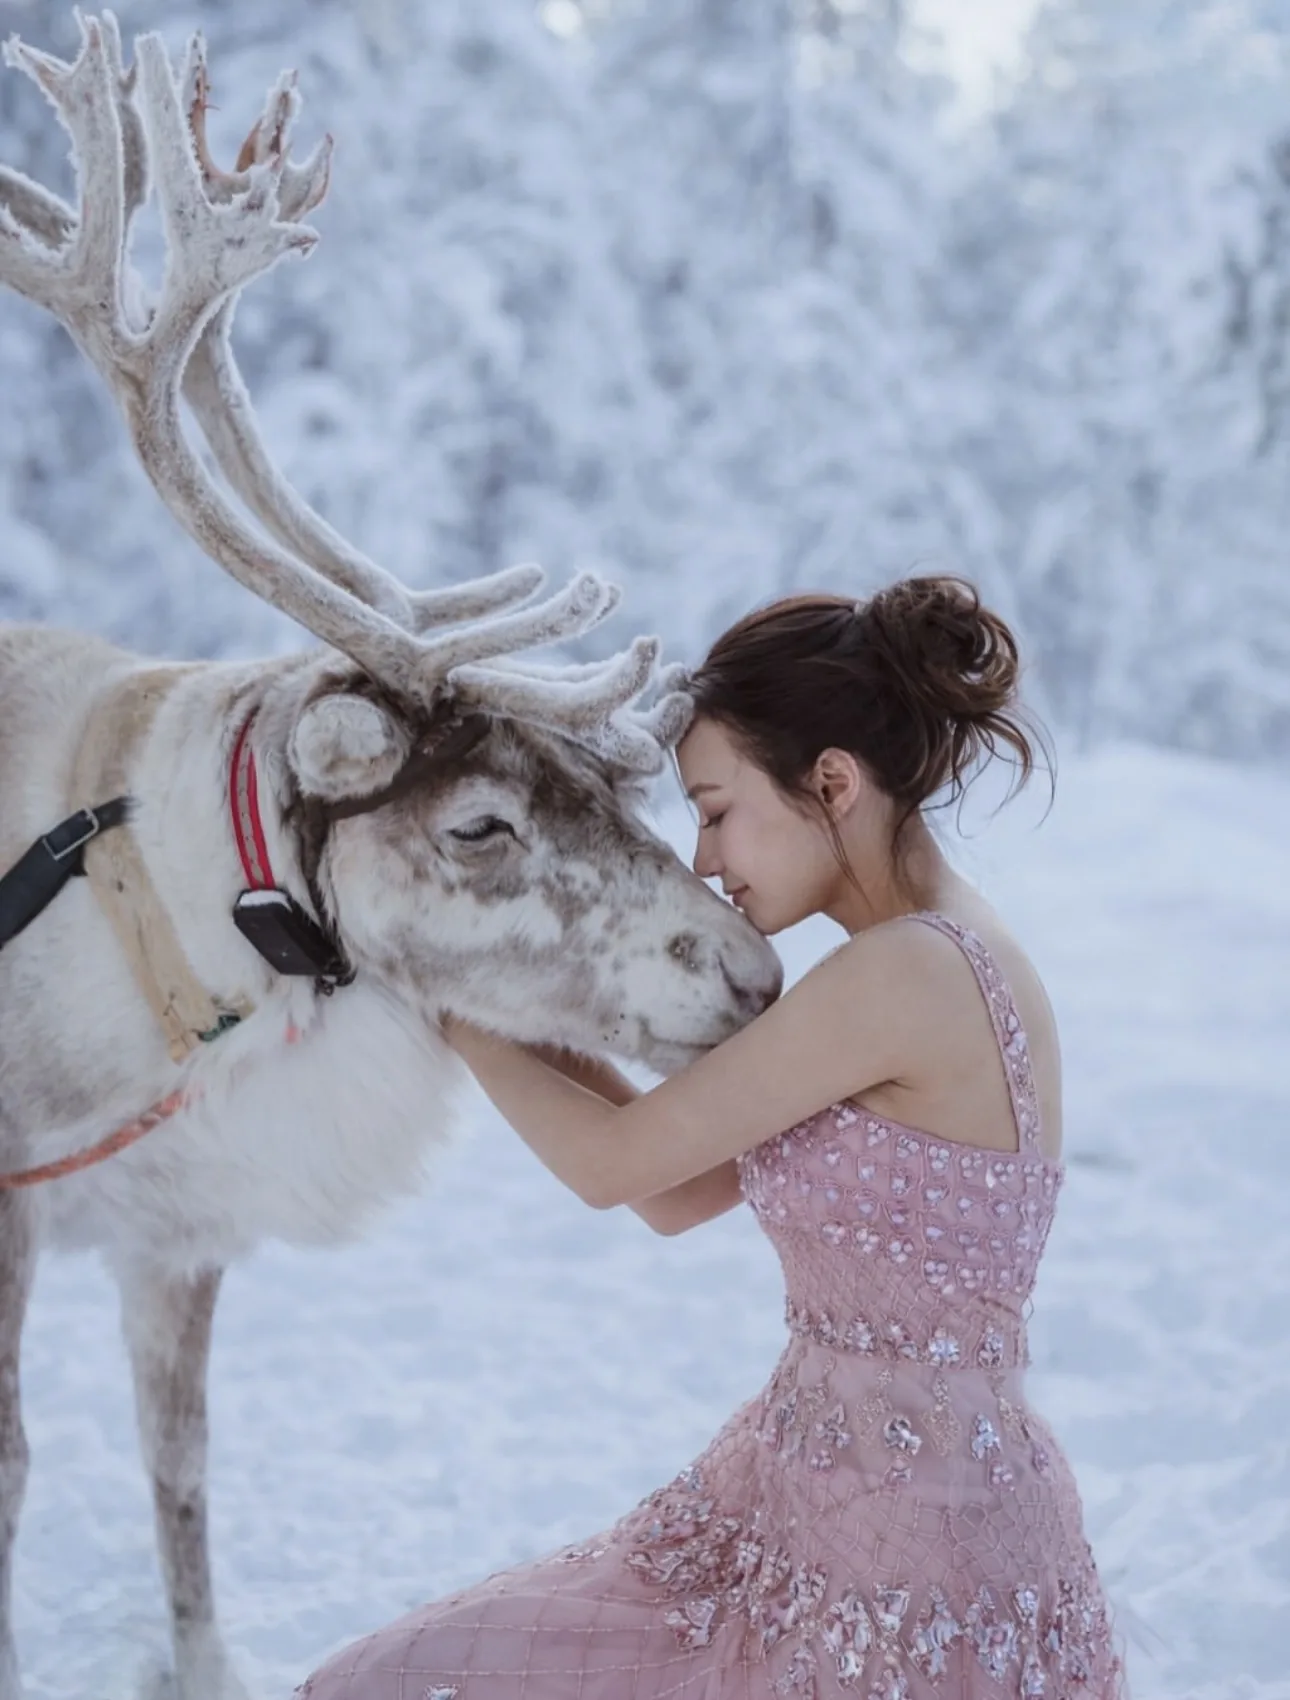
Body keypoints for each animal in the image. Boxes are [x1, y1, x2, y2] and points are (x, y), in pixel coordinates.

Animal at [0, 15, 783, 1699]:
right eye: (481, 823)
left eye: (614, 785)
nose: (751, 972)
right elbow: (22, 1467)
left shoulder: (174, 1225)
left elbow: (180, 1466)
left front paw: (206, 1668)